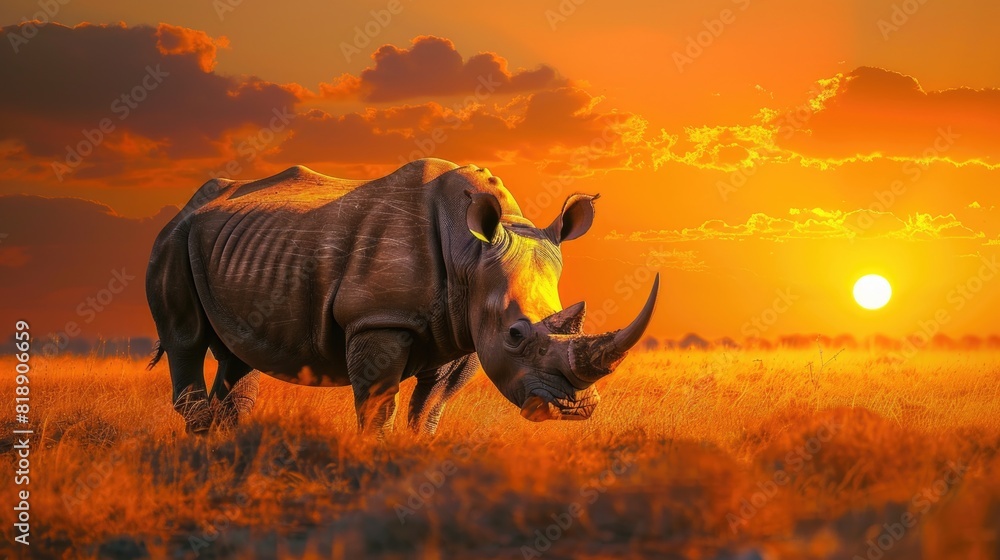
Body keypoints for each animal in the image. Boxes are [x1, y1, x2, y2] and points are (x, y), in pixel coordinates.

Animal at [146, 159, 658, 435]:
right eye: (515, 335)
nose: (575, 409)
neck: (469, 253)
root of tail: (189, 205)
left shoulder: (465, 330)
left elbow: (429, 409)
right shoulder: (379, 317)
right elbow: (378, 407)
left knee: (238, 355)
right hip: (173, 238)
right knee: (185, 338)